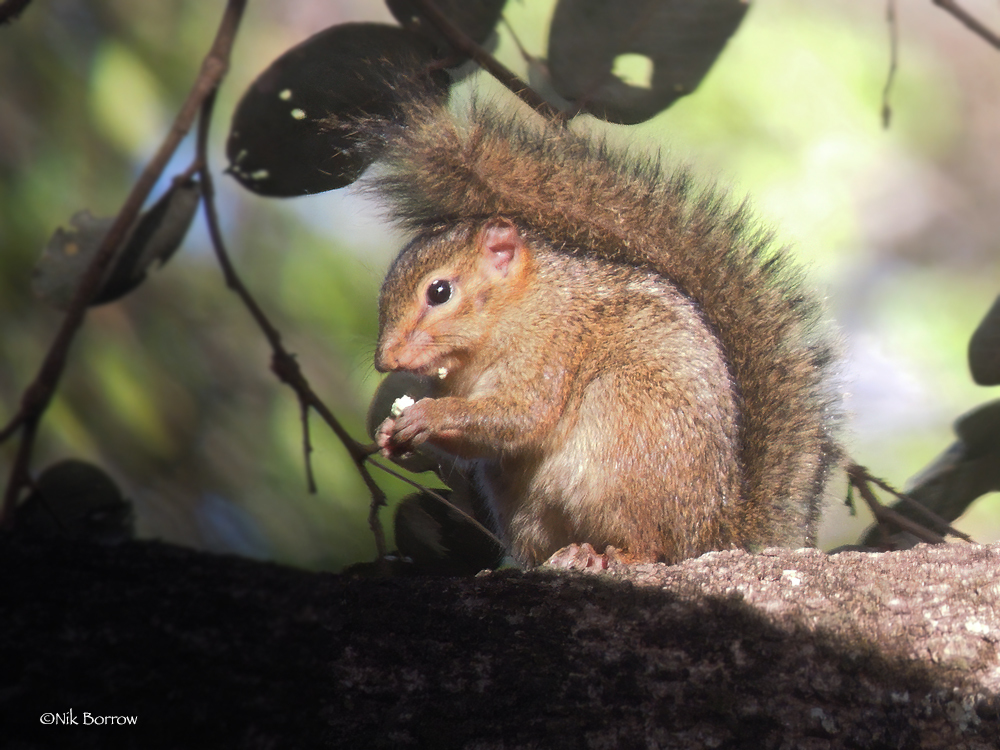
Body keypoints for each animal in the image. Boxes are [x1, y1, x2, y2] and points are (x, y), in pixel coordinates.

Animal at [369, 100, 841, 568]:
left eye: (440, 291)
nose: (385, 360)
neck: (512, 313)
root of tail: (711, 533)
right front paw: (390, 436)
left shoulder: (550, 347)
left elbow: (521, 416)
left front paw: (428, 415)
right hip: (529, 510)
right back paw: (567, 555)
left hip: (628, 439)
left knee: (652, 547)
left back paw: (616, 556)